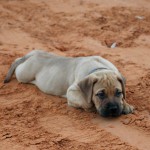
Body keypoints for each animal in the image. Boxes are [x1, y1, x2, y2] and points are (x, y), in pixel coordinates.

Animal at [4, 50, 134, 117]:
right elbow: (85, 102)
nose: (113, 109)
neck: (99, 69)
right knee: (17, 61)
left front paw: (126, 105)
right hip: (23, 74)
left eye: (118, 92)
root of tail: (34, 53)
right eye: (101, 94)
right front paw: (91, 106)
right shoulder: (72, 91)